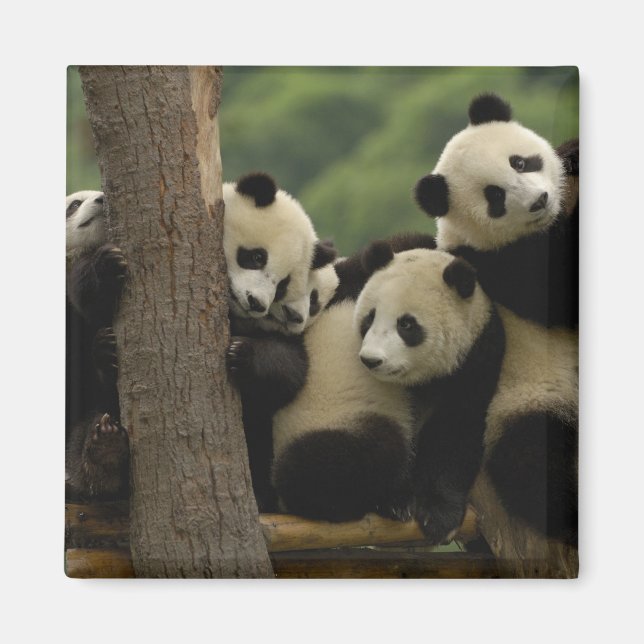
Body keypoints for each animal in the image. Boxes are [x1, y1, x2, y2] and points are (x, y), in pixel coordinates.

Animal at [355, 244, 505, 543]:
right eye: (370, 317)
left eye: (406, 325)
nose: (371, 360)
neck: (421, 380)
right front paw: (393, 500)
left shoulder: (475, 360)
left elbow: (455, 433)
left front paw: (438, 516)